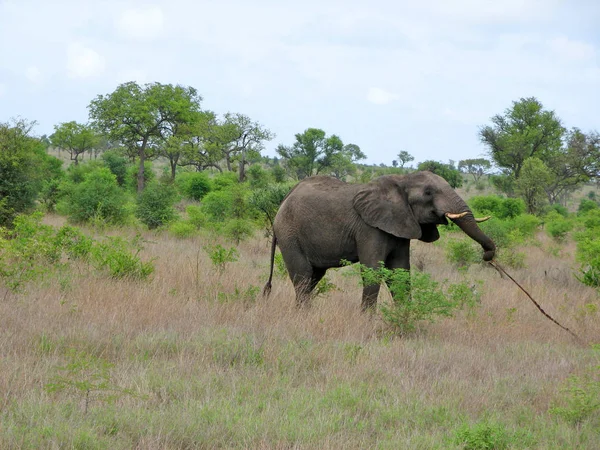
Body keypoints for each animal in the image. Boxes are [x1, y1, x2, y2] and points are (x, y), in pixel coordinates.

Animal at [264, 171, 496, 312]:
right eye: (428, 192)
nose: (487, 255)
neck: (402, 180)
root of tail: (283, 200)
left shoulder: (401, 224)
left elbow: (401, 273)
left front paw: (405, 317)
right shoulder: (369, 227)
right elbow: (373, 271)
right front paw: (366, 322)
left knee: (314, 276)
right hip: (289, 234)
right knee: (303, 277)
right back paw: (304, 315)